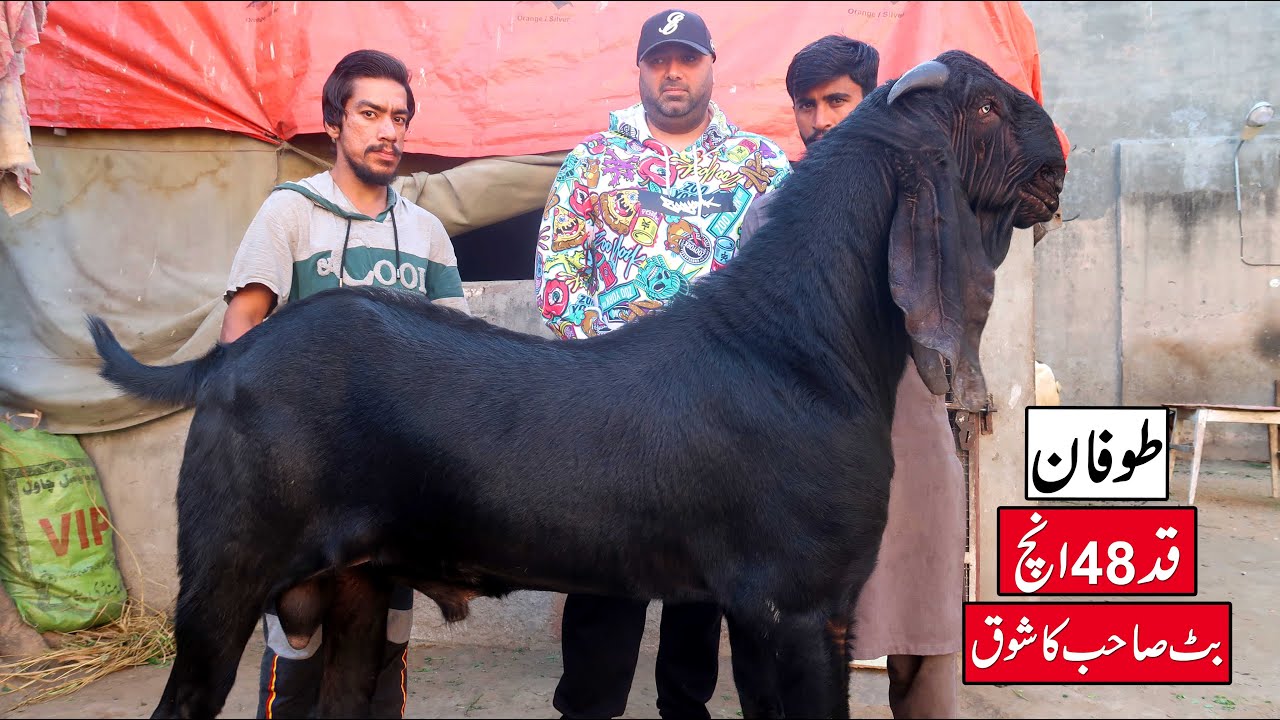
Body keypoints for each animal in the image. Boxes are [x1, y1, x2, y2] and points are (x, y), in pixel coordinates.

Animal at [89, 50, 1065, 719]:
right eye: (985, 103)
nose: (1058, 147)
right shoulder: (804, 606)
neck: (801, 346)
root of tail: (231, 359)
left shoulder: (765, 614)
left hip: (356, 592)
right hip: (223, 585)